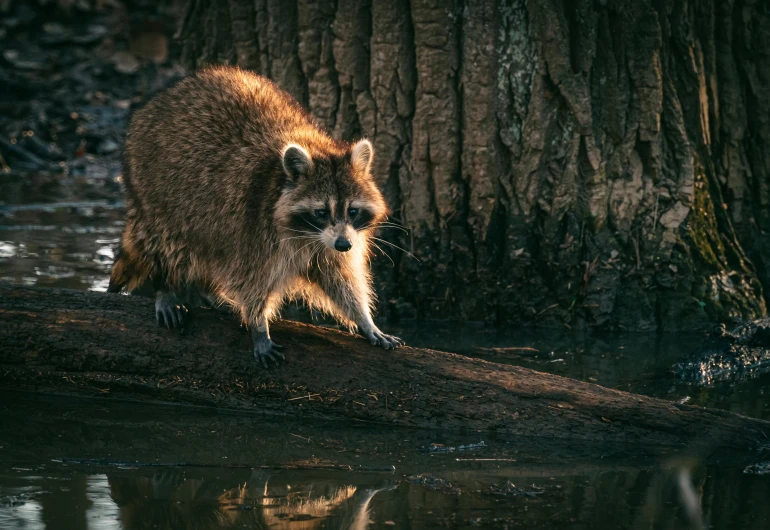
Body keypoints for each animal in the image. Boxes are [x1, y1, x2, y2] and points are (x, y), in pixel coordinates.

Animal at [107, 65, 402, 364]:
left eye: (352, 210)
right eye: (321, 212)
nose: (344, 245)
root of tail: (159, 101)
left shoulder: (331, 242)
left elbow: (340, 278)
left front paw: (364, 319)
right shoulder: (254, 225)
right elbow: (252, 278)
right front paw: (258, 324)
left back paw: (207, 290)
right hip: (156, 189)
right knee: (170, 243)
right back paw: (166, 286)